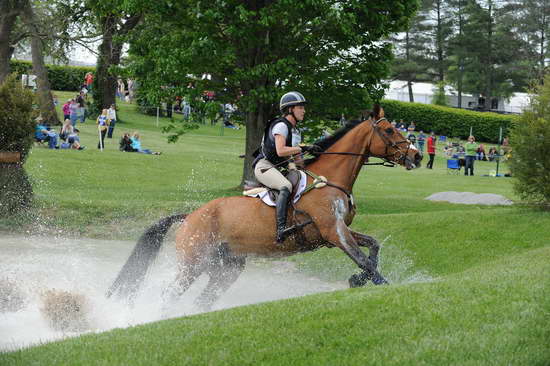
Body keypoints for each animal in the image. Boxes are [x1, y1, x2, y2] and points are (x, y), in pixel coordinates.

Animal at [109, 107, 426, 310]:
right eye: (389, 130)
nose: (417, 156)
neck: (331, 179)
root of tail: (190, 217)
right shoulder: (332, 231)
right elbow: (364, 260)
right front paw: (383, 285)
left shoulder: (337, 231)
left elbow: (373, 246)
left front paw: (358, 280)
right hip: (193, 263)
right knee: (169, 294)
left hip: (226, 269)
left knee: (203, 299)